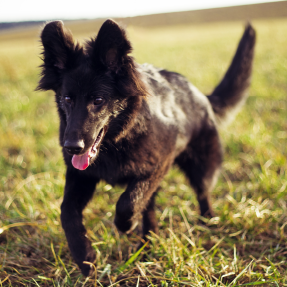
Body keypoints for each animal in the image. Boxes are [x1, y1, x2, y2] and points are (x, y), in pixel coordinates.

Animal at [37, 19, 256, 276]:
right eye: (67, 99)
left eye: (98, 100)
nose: (72, 147)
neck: (117, 142)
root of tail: (201, 96)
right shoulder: (80, 176)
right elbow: (67, 212)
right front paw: (85, 257)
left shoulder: (157, 166)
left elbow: (128, 202)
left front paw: (125, 225)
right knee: (150, 209)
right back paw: (147, 245)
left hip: (201, 166)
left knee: (202, 192)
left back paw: (207, 221)